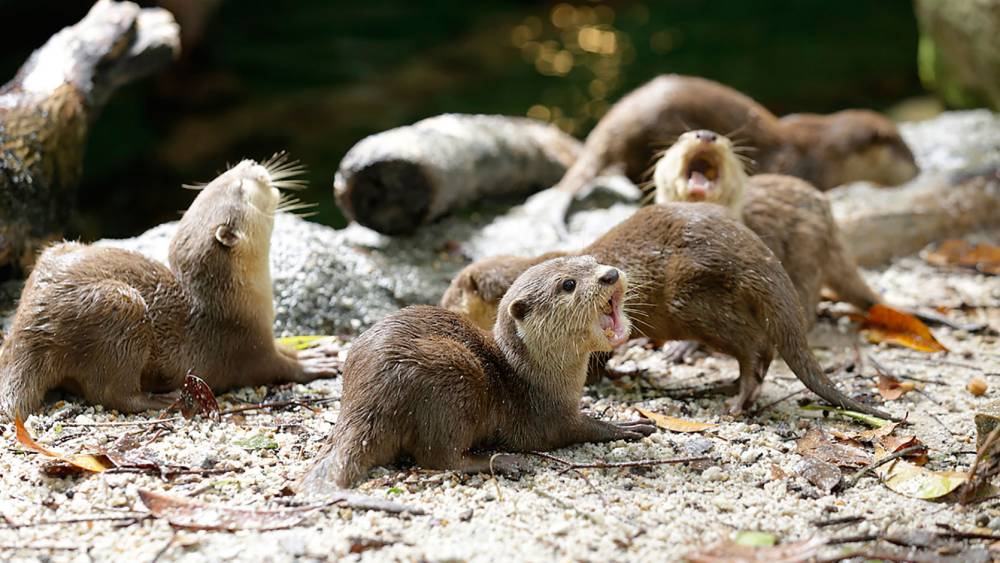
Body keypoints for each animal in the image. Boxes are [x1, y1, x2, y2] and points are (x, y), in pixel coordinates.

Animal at [0, 154, 339, 419]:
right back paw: (163, 399)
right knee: (110, 393)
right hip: (119, 307)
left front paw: (313, 347)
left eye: (225, 175)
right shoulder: (248, 345)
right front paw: (311, 363)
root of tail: (31, 329)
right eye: (240, 188)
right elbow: (275, 365)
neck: (235, 302)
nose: (251, 163)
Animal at [299, 256, 655, 491]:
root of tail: (365, 402)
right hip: (453, 376)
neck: (534, 374)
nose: (610, 274)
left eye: (593, 262)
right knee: (439, 456)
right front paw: (627, 425)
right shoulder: (548, 416)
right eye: (568, 284)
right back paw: (502, 461)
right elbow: (579, 428)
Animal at [441, 205, 893, 419]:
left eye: (447, 299)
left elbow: (597, 365)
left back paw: (737, 399)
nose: (610, 273)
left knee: (755, 347)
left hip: (693, 298)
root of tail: (755, 253)